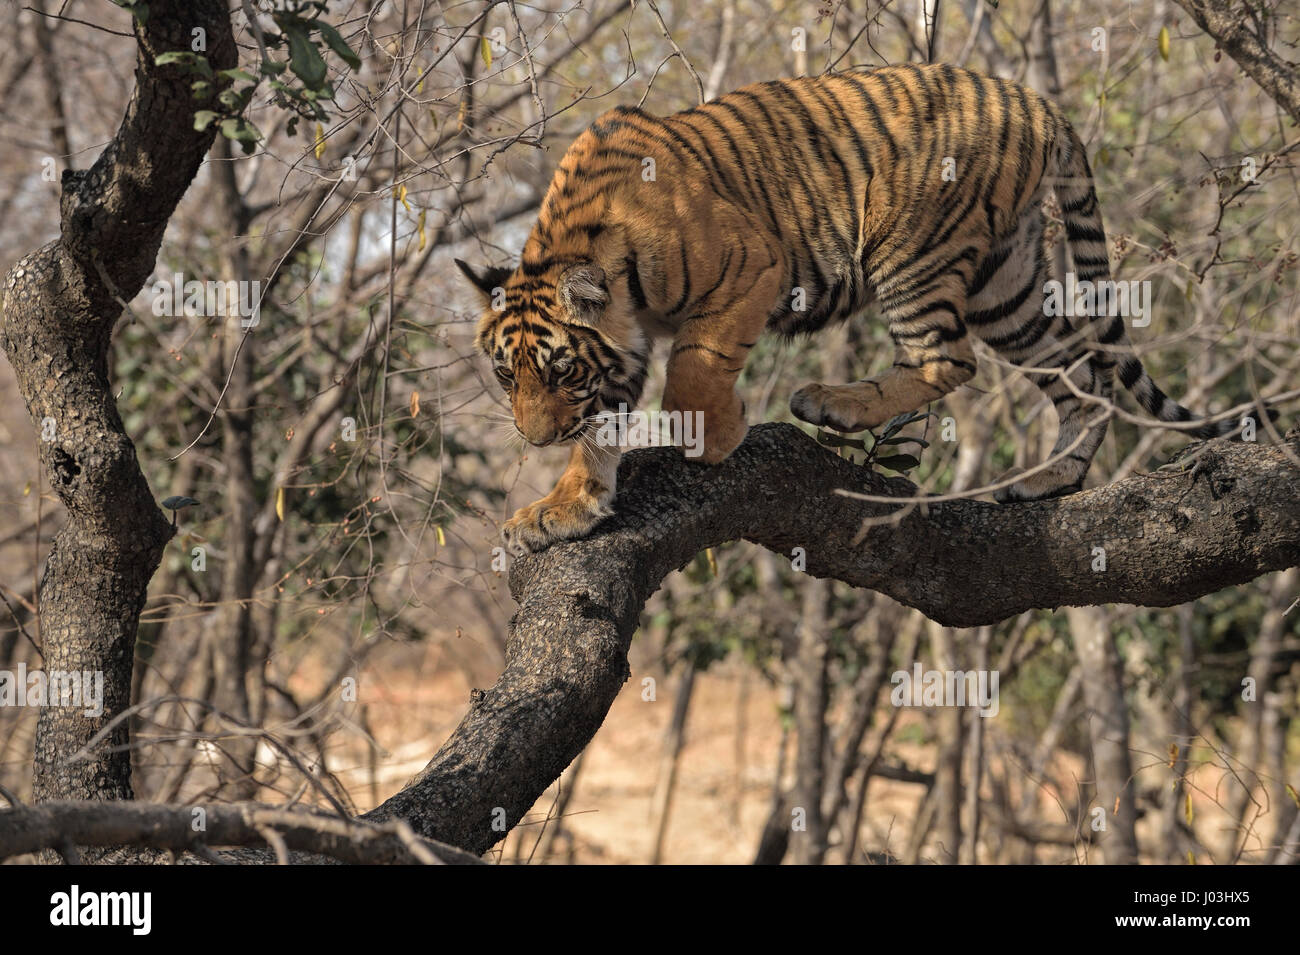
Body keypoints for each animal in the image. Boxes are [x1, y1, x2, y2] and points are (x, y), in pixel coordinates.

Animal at [458, 63, 1248, 555]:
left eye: (560, 372)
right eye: (506, 376)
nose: (534, 439)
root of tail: (1036, 100)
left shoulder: (753, 264)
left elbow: (695, 367)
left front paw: (713, 435)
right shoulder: (621, 348)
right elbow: (602, 431)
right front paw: (564, 508)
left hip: (909, 245)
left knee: (946, 358)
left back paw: (832, 403)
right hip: (1007, 285)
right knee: (1077, 368)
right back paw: (1050, 479)